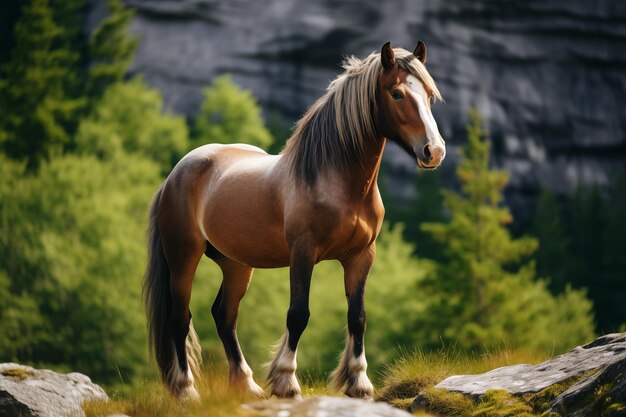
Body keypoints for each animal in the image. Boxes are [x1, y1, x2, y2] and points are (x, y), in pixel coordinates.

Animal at [143, 41, 444, 400]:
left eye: (429, 94)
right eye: (397, 93)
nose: (434, 151)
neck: (334, 181)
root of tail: (175, 174)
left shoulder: (361, 256)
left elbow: (357, 316)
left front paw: (358, 383)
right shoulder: (303, 254)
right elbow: (298, 314)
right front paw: (286, 381)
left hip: (236, 264)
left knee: (225, 315)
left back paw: (247, 385)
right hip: (183, 256)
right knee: (180, 316)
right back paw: (187, 390)